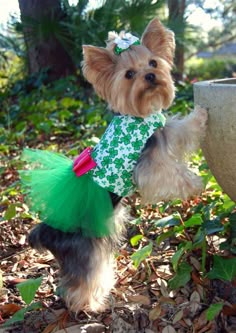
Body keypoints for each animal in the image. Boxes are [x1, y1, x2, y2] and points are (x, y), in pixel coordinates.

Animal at [27, 18, 206, 312]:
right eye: (129, 74)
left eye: (153, 63)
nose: (150, 76)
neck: (140, 116)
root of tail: (46, 231)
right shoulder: (148, 165)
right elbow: (171, 173)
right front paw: (195, 182)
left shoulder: (163, 131)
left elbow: (182, 129)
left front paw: (201, 116)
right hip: (86, 249)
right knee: (79, 282)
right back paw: (91, 304)